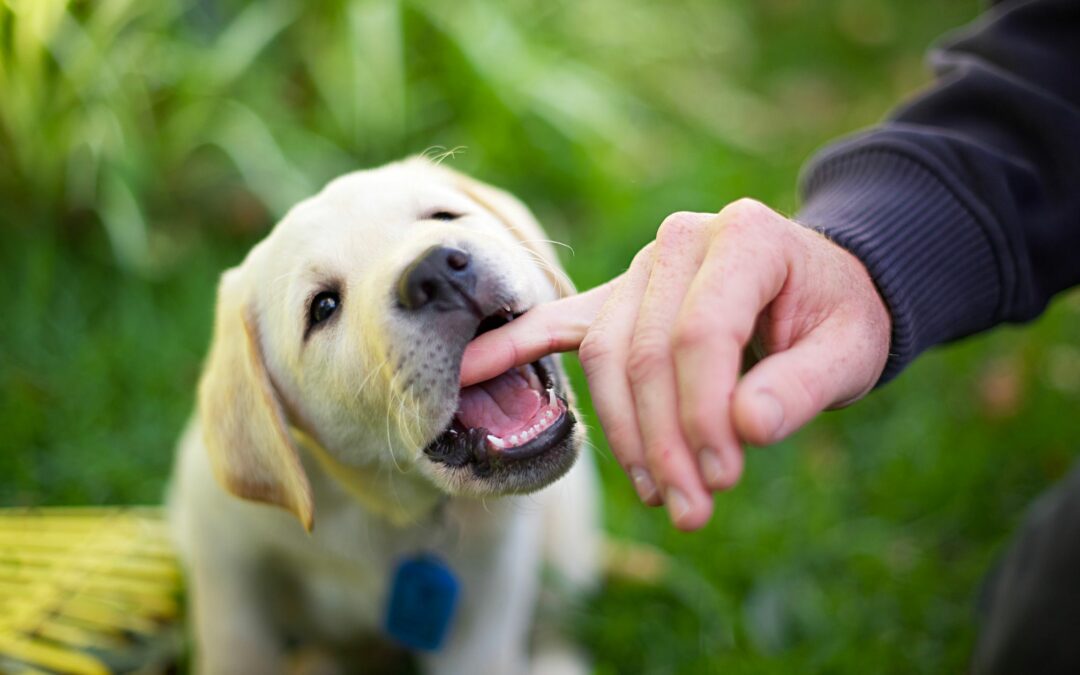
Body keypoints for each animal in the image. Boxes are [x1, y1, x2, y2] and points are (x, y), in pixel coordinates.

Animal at [172, 158, 604, 673]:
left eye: (443, 216)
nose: (435, 271)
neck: (382, 510)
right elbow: (237, 648)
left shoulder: (487, 597)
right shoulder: (227, 567)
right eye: (323, 307)